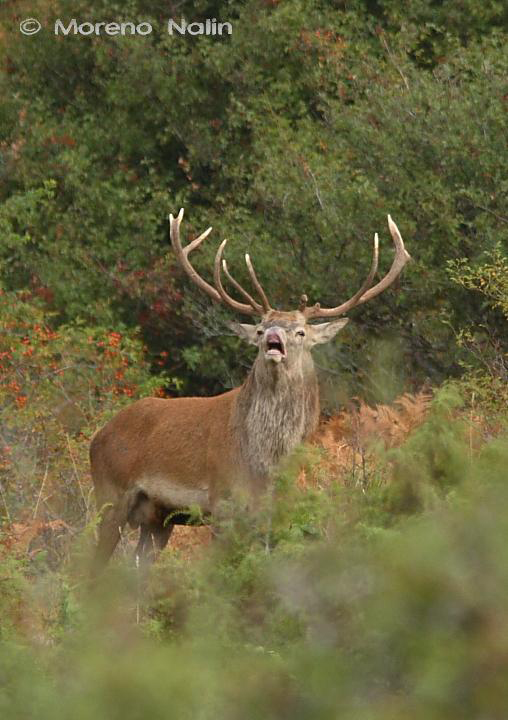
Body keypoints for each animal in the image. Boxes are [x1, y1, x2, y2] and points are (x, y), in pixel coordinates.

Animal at [90, 209, 410, 574]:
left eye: (301, 331)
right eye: (259, 329)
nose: (273, 335)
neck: (266, 463)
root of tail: (98, 436)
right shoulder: (223, 502)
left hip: (159, 518)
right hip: (110, 495)